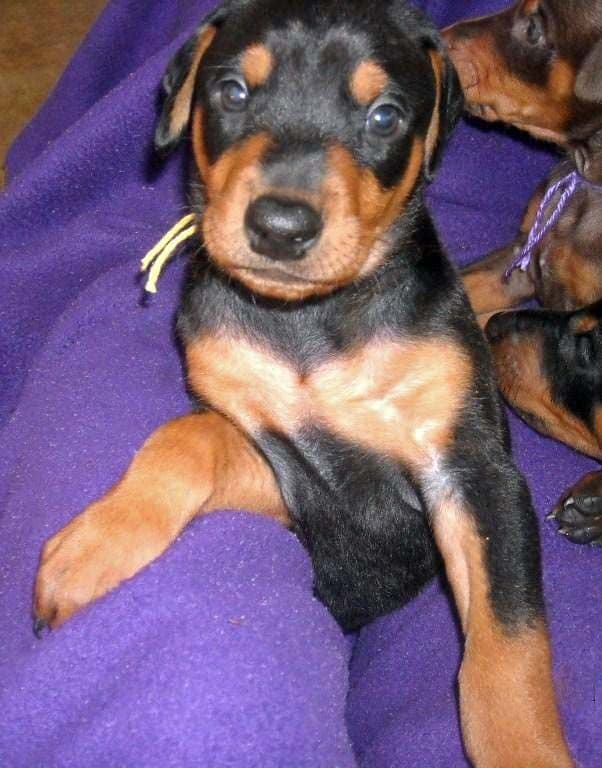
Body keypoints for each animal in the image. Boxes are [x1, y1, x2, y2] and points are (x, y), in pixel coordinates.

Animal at [32, 3, 572, 764]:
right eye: (232, 91)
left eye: (384, 116)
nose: (281, 227)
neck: (310, 321)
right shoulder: (288, 476)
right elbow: (186, 437)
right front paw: (92, 548)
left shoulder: (473, 470)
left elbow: (507, 645)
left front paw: (528, 748)